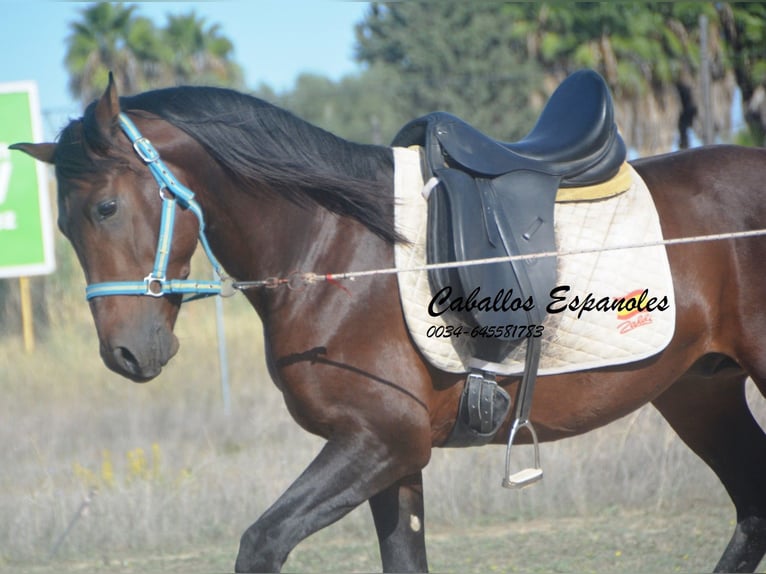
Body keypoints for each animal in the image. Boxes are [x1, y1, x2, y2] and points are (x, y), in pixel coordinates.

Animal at [10, 77, 766, 574]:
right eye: (63, 225)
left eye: (106, 208)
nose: (126, 353)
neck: (338, 251)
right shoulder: (394, 459)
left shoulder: (381, 442)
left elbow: (260, 543)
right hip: (700, 390)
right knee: (752, 509)